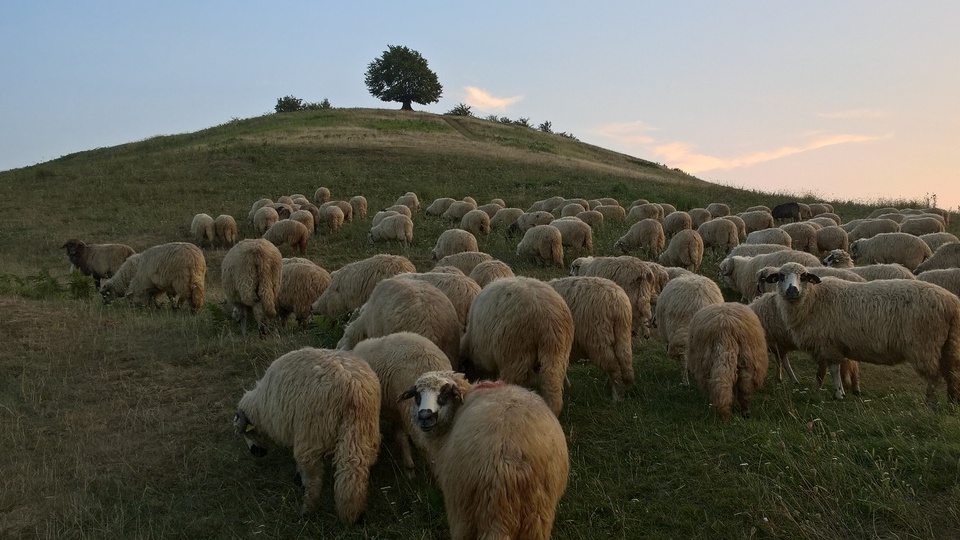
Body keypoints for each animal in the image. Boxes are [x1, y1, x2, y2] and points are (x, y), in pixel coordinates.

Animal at [234, 347, 379, 522]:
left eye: (246, 433)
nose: (256, 452)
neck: (261, 408)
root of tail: (353, 388)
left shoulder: (296, 431)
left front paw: (298, 478)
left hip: (311, 435)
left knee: (313, 478)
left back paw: (308, 509)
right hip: (361, 430)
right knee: (355, 469)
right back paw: (354, 513)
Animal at [763, 262, 960, 403]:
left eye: (803, 277)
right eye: (781, 276)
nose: (792, 290)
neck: (813, 299)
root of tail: (951, 302)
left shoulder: (829, 344)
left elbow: (834, 369)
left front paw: (837, 395)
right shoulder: (837, 345)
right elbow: (840, 367)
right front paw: (842, 391)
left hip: (925, 345)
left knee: (934, 377)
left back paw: (930, 405)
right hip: (949, 343)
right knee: (951, 373)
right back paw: (951, 403)